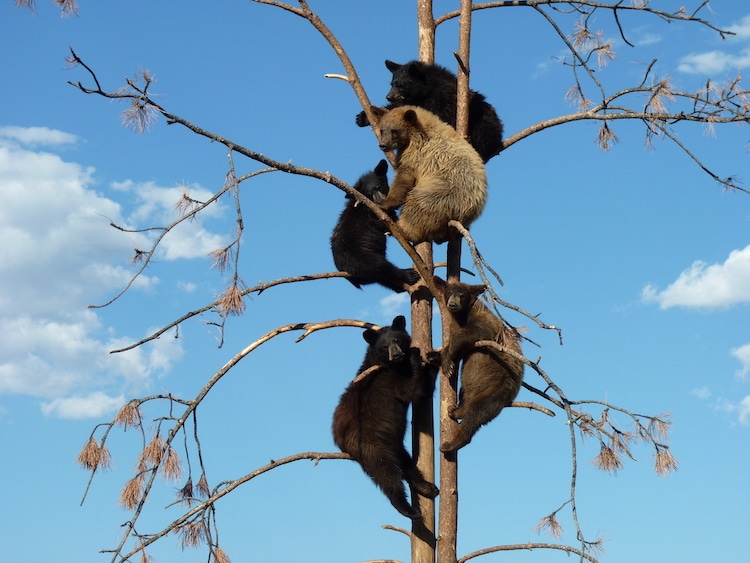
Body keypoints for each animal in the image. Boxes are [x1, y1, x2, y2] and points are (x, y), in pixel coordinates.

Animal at [356, 60, 506, 164]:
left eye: (399, 85)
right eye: (391, 84)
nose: (388, 96)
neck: (426, 91)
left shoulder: (445, 98)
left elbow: (444, 117)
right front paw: (363, 117)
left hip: (485, 121)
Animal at [370, 105, 488, 245]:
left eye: (394, 131)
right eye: (382, 130)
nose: (383, 145)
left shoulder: (417, 154)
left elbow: (404, 178)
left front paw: (384, 203)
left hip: (442, 194)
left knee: (418, 206)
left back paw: (401, 229)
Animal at [434, 278, 524, 454]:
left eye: (462, 295)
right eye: (448, 292)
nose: (452, 304)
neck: (461, 317)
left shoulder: (484, 321)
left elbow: (474, 333)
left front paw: (448, 358)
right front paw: (446, 361)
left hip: (497, 389)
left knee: (477, 415)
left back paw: (451, 444)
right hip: (471, 389)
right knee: (465, 395)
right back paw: (457, 410)